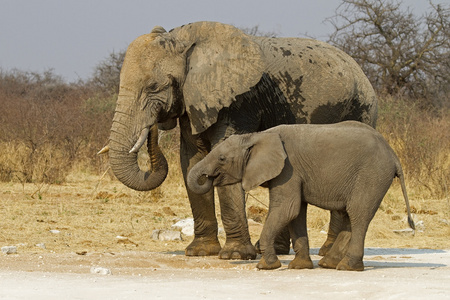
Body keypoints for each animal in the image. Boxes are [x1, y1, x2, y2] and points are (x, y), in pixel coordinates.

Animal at [101, 21, 376, 260]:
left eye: (154, 86)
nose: (153, 128)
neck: (184, 39)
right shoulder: (196, 101)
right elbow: (191, 160)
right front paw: (201, 252)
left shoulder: (240, 102)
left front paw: (235, 255)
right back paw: (277, 249)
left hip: (360, 109)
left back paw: (328, 252)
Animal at [186, 120, 414, 270]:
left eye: (222, 158)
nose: (208, 177)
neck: (256, 135)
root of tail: (394, 155)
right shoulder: (293, 174)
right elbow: (296, 214)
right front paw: (299, 266)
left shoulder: (288, 170)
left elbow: (287, 209)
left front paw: (267, 266)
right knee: (350, 215)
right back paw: (329, 264)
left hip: (372, 175)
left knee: (358, 214)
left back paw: (347, 267)